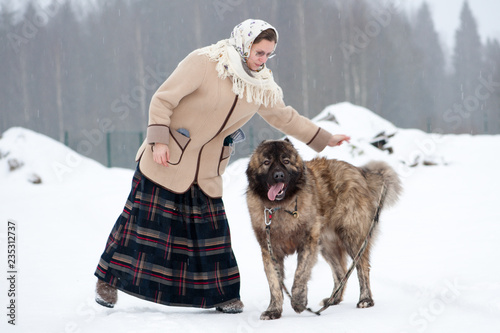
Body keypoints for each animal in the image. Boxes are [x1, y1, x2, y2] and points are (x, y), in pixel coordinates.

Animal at [246, 138, 402, 320]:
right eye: (266, 162)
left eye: (286, 161)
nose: (279, 176)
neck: (280, 207)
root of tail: (360, 173)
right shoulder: (269, 249)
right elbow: (275, 284)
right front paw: (273, 310)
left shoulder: (308, 242)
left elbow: (300, 274)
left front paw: (298, 301)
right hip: (327, 245)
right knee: (341, 272)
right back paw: (333, 299)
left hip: (353, 237)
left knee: (361, 268)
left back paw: (365, 299)